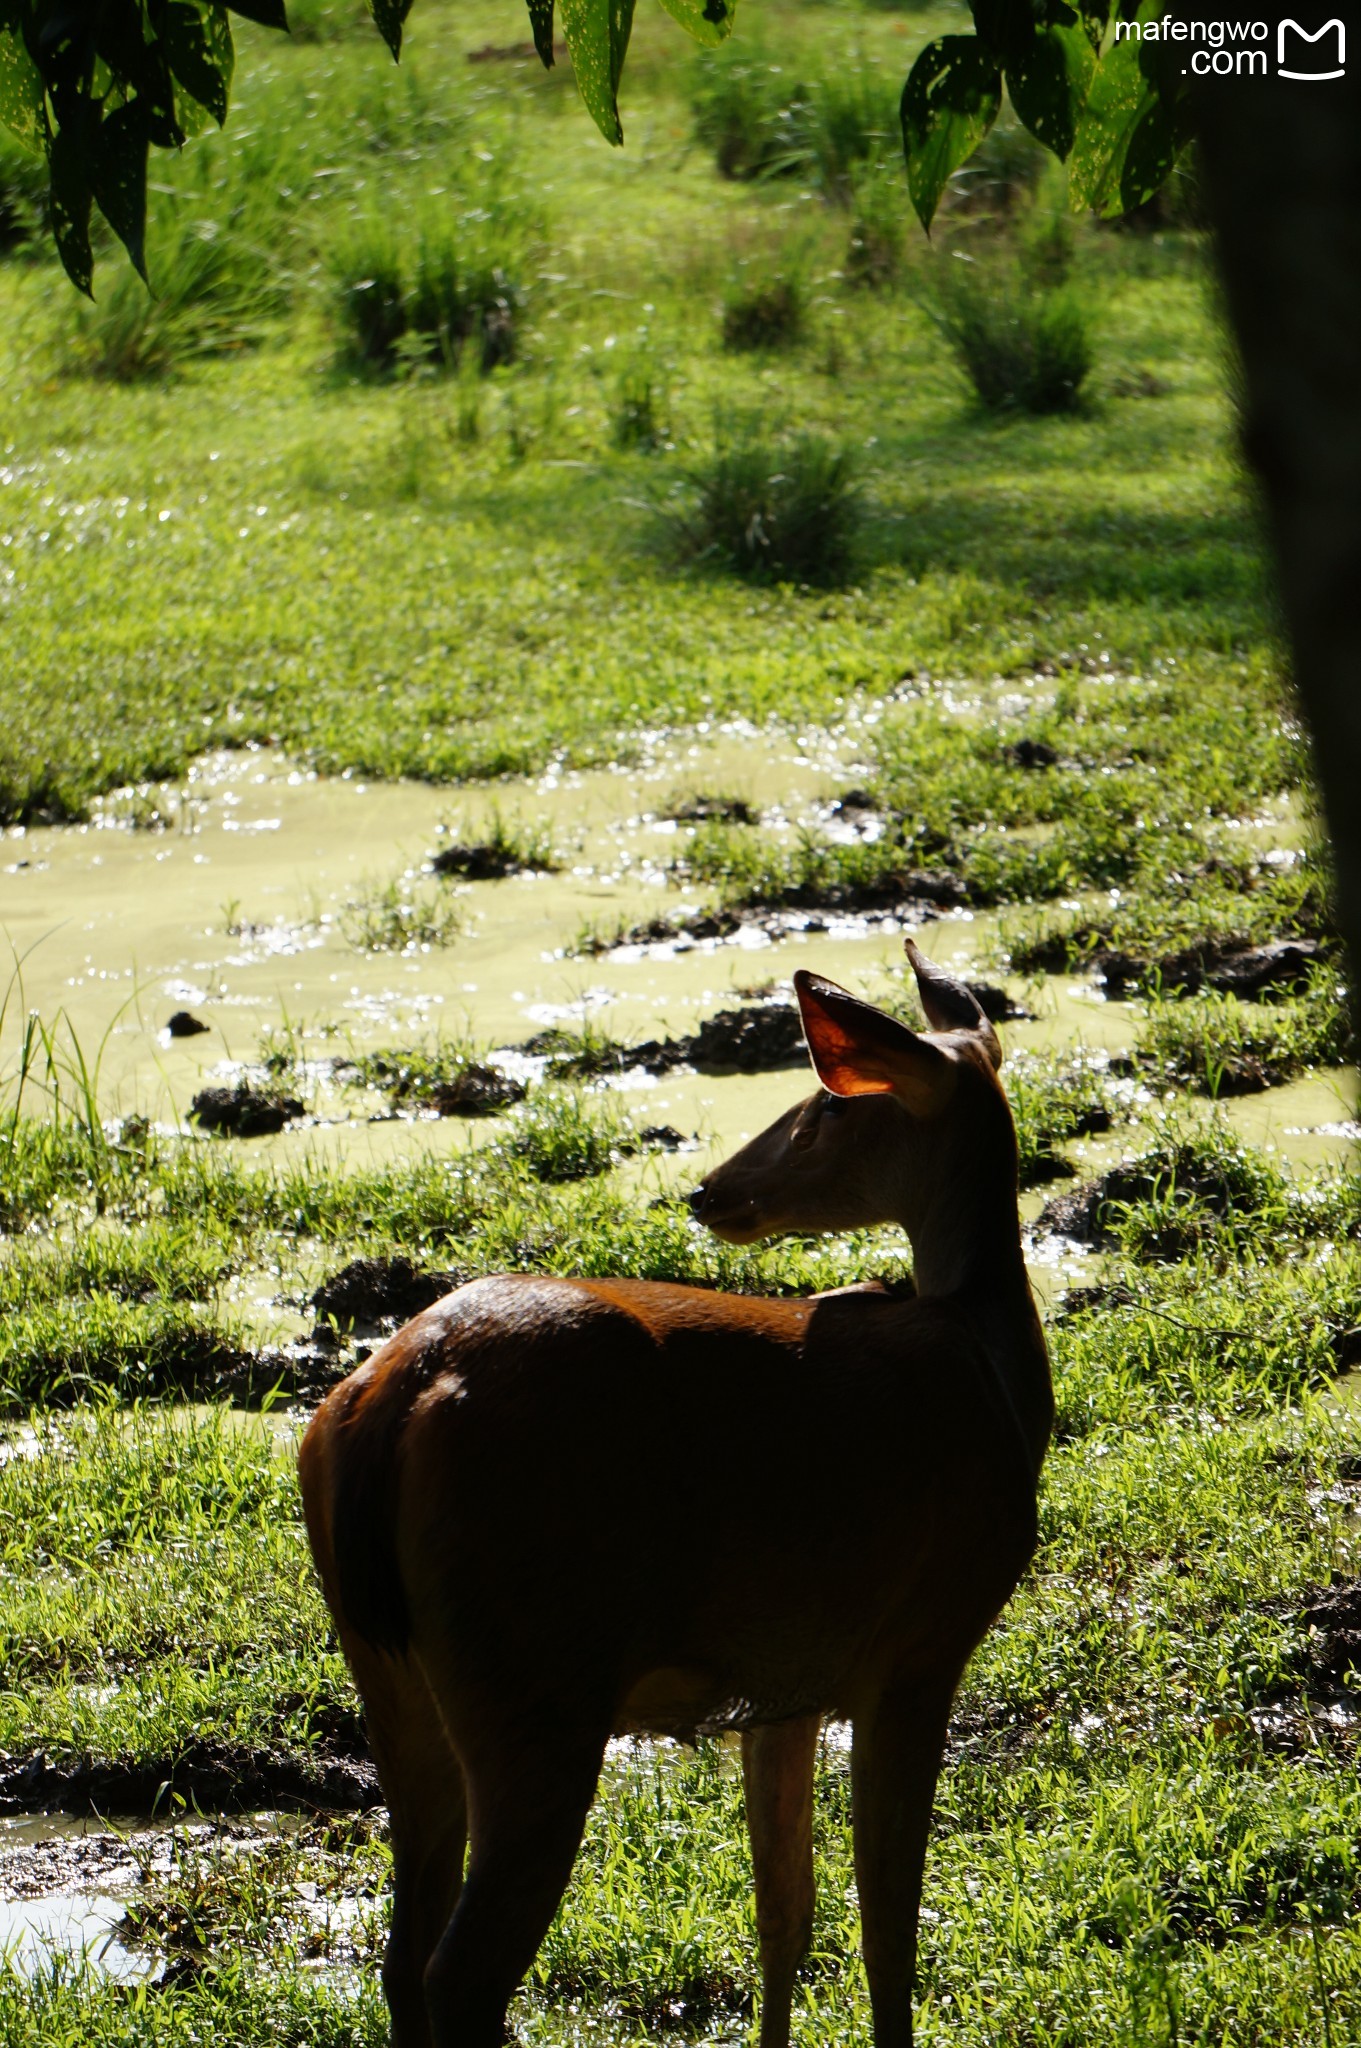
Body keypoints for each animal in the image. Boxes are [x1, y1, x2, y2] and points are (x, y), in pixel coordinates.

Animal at [300, 937, 1047, 2048]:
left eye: (822, 1107)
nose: (708, 1191)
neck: (993, 1369)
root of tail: (396, 1391)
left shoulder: (787, 1682)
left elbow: (784, 1909)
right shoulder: (919, 1643)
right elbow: (889, 1933)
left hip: (390, 1671)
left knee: (401, 1956)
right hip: (534, 1673)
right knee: (458, 1968)